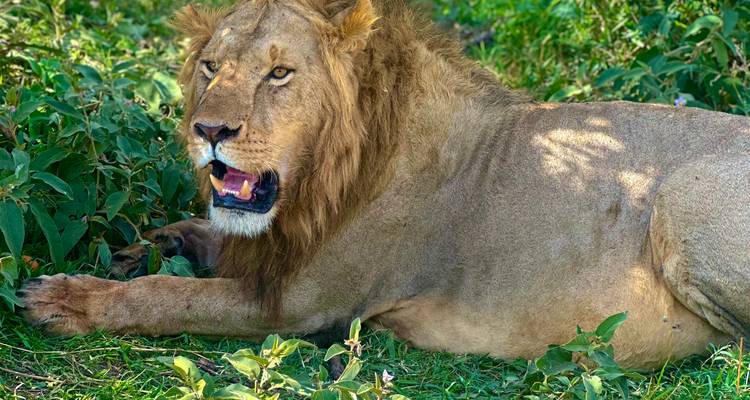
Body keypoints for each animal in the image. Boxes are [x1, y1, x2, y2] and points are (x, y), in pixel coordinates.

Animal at [20, 0, 750, 369]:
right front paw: (140, 245)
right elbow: (195, 235)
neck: (317, 183)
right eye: (210, 66)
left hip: (683, 199)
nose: (209, 131)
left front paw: (64, 299)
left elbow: (169, 295)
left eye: (279, 73)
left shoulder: (296, 305)